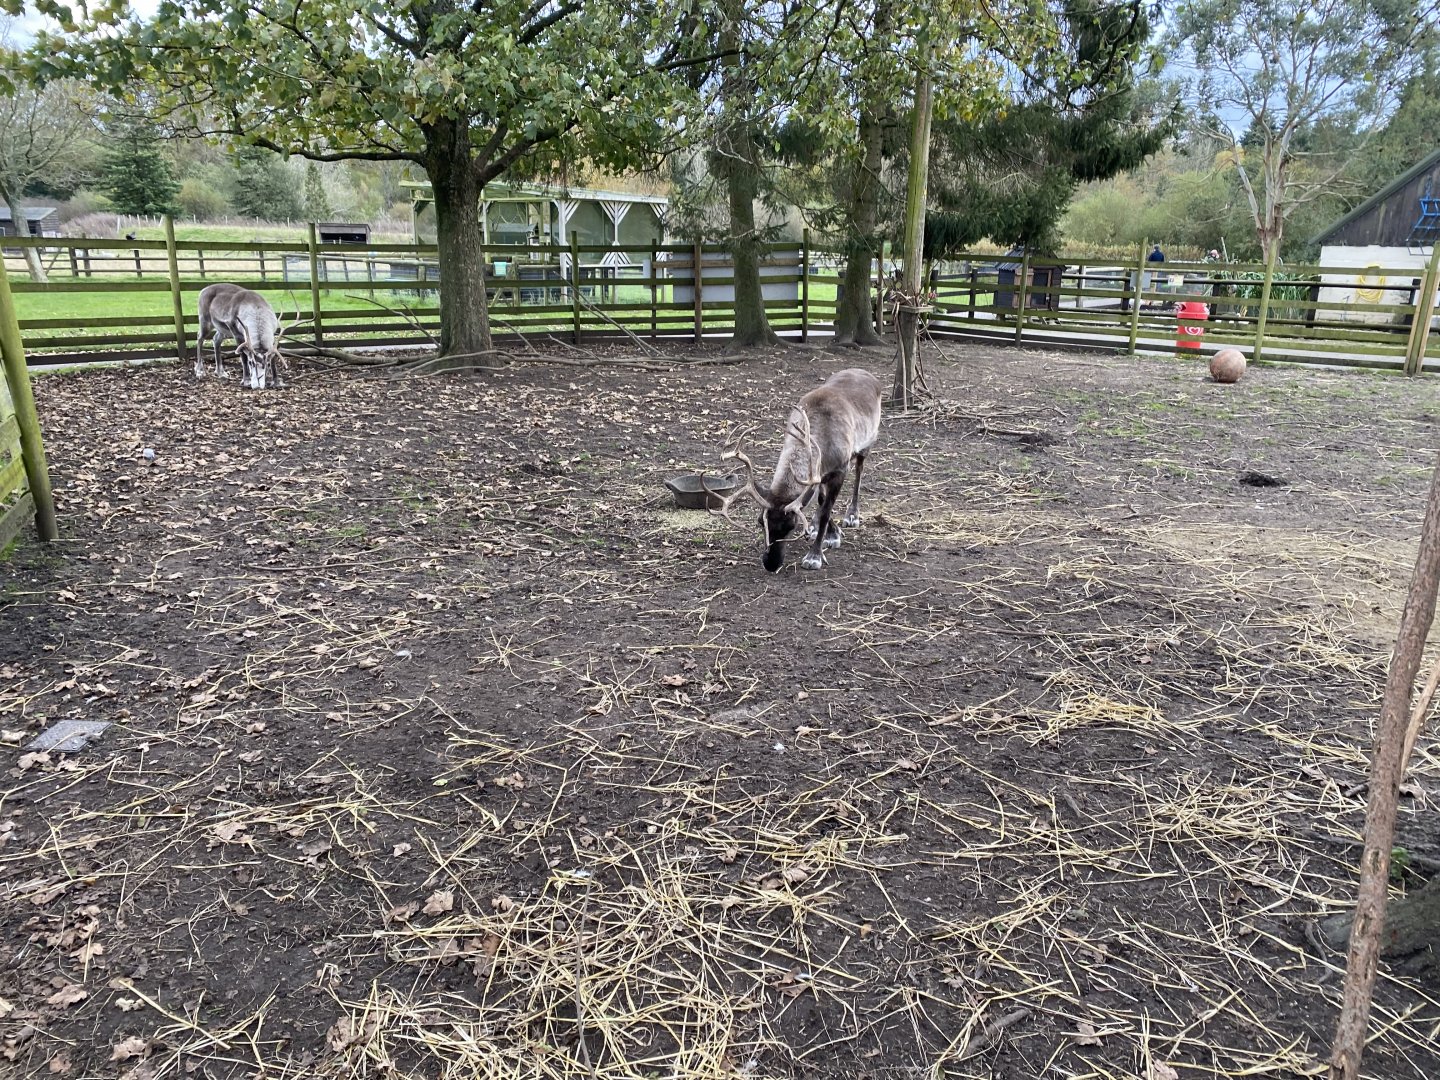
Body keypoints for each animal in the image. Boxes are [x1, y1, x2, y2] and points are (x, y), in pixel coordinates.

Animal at [708, 368, 882, 573]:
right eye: (760, 522)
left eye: (790, 526)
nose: (770, 564)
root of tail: (865, 373)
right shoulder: (818, 473)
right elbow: (821, 501)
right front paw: (829, 531)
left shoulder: (840, 470)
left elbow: (826, 510)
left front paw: (816, 554)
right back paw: (815, 526)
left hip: (868, 443)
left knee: (859, 472)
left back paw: (852, 515)